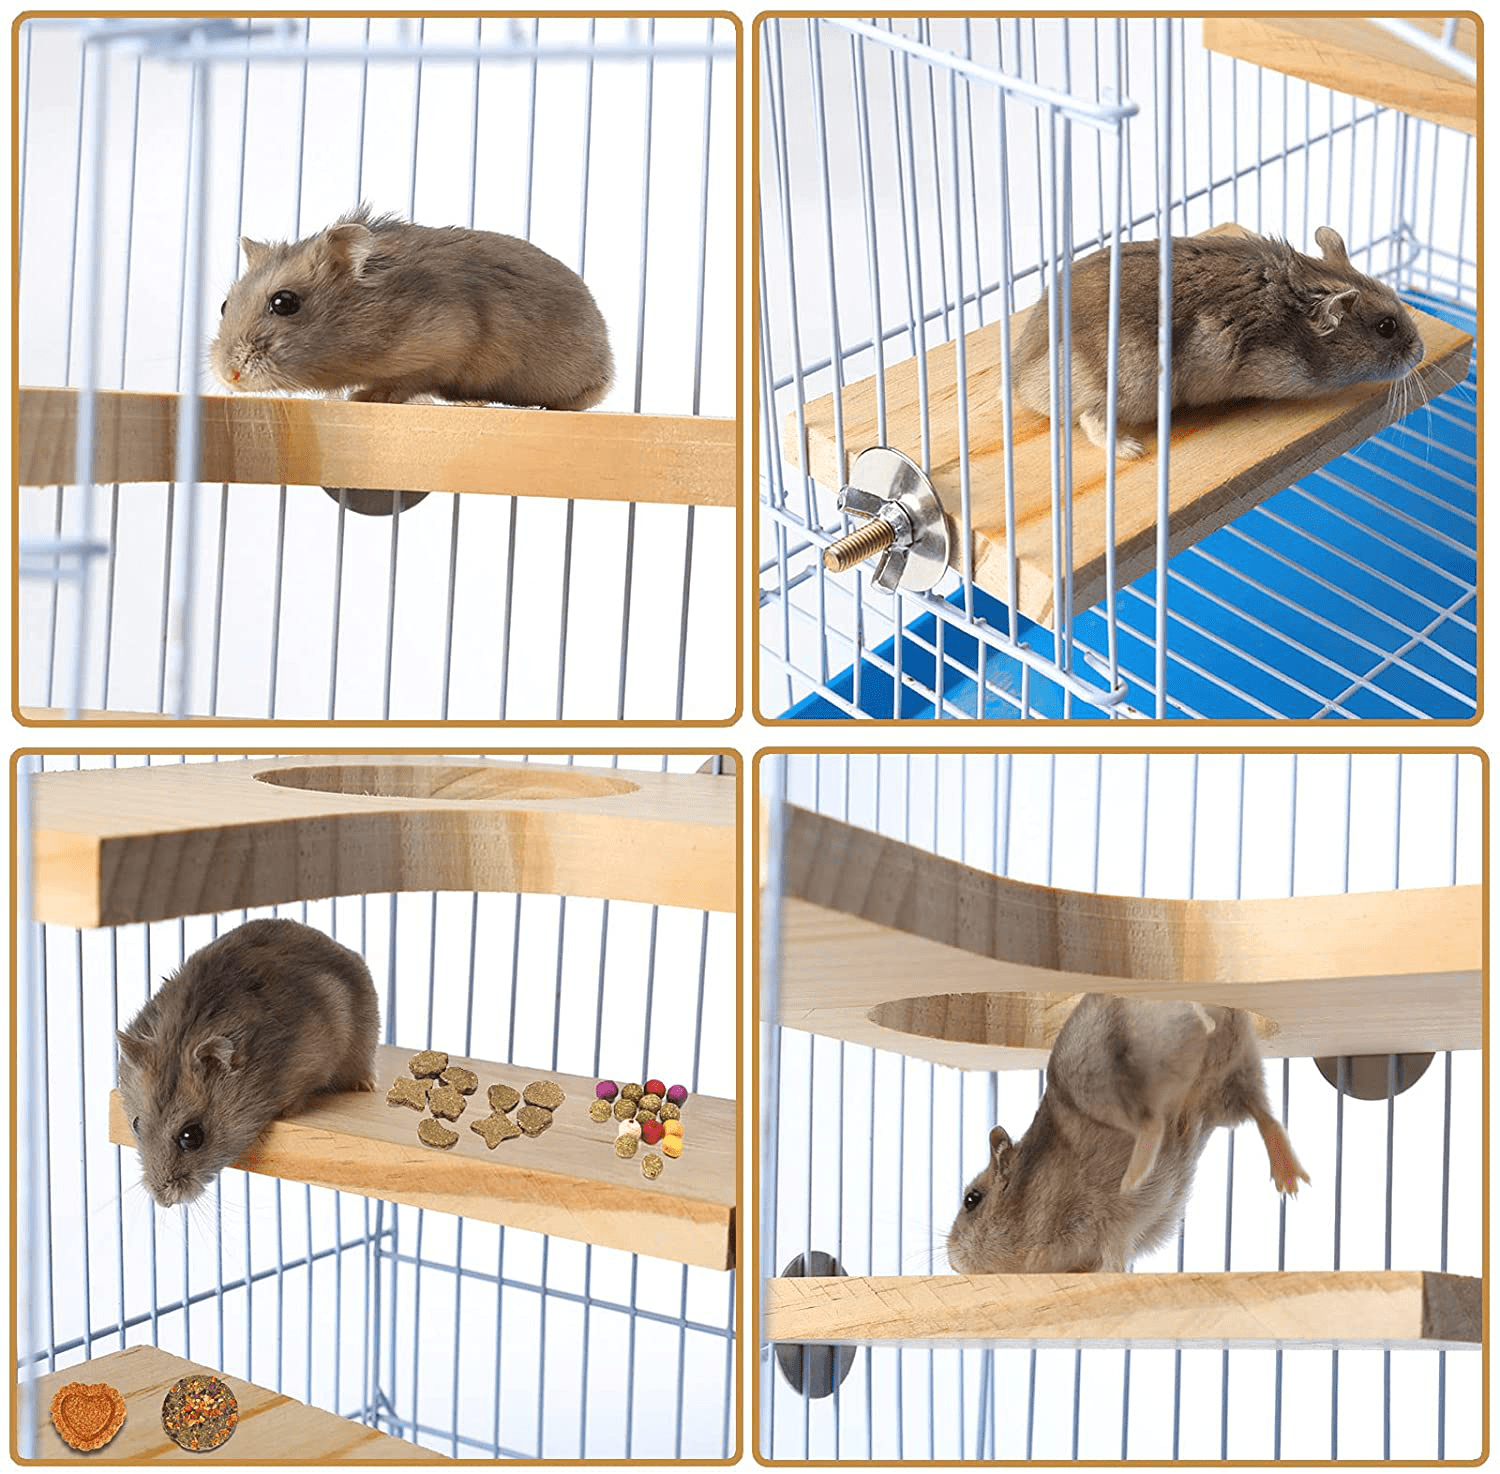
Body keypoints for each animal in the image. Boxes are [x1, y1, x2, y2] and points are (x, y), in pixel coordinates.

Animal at [211, 205, 615, 515]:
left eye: (283, 303)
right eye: (224, 305)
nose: (229, 375)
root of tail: (608, 363)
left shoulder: (441, 346)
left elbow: (403, 383)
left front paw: (363, 396)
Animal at [946, 994, 1308, 1276]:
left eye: (971, 1199)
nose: (952, 1262)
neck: (1029, 1195)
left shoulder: (1104, 1222)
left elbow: (1110, 1259)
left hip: (1104, 1078)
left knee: (1150, 1122)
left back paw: (1133, 1176)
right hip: (1230, 1078)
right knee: (1264, 1115)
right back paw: (1290, 1182)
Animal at [1013, 226, 1425, 458]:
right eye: (1386, 327)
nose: (1420, 353)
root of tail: (1019, 381)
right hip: (1130, 386)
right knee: (1090, 418)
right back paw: (1131, 450)